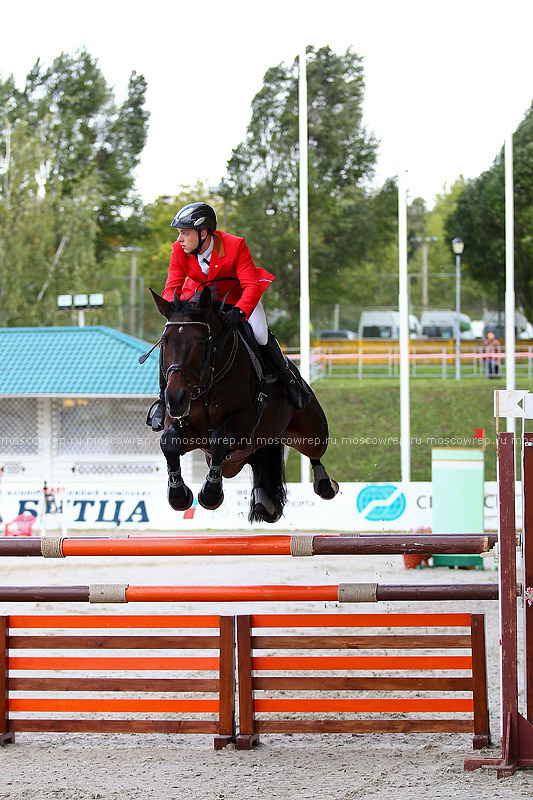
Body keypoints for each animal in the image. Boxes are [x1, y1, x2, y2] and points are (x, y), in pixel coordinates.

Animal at [149, 288, 336, 524]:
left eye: (200, 341)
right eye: (164, 341)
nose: (176, 398)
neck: (209, 382)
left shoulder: (243, 424)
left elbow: (219, 438)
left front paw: (210, 493)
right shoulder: (182, 425)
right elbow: (169, 442)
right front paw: (178, 495)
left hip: (311, 432)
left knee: (315, 452)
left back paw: (324, 484)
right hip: (247, 451)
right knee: (257, 460)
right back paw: (264, 502)